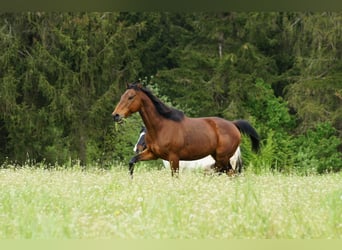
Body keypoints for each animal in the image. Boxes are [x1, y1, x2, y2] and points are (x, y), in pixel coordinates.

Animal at [112, 83, 260, 177]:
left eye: (131, 97)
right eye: (122, 96)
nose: (116, 115)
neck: (161, 127)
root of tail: (233, 124)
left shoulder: (174, 159)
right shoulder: (152, 154)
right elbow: (132, 161)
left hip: (222, 158)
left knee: (231, 174)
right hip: (219, 159)